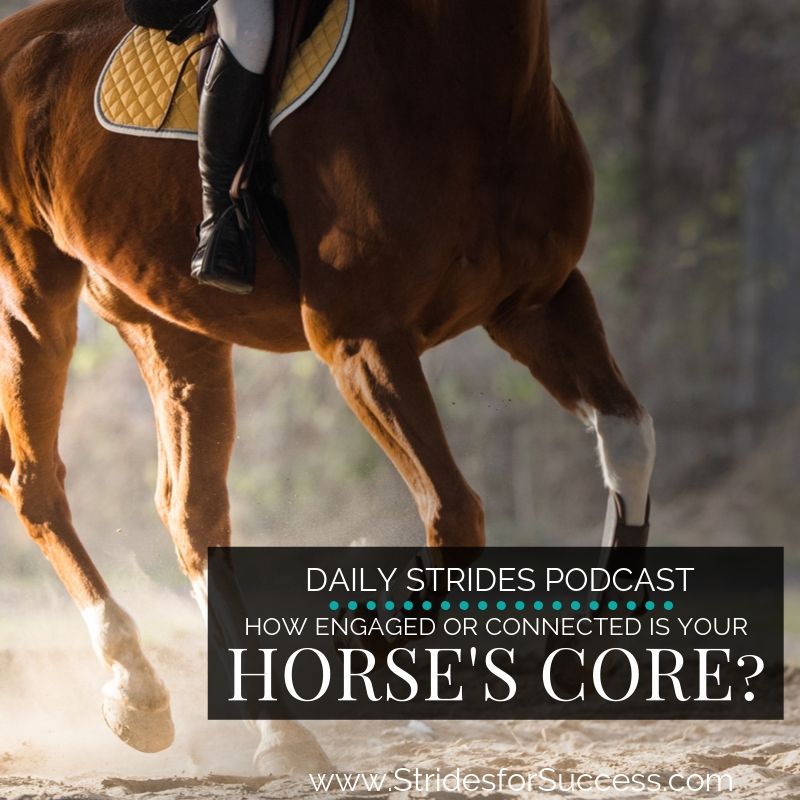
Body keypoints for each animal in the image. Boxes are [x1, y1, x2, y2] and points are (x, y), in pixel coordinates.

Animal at [0, 0, 655, 774]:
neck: (461, 72)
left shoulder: (539, 304)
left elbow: (629, 437)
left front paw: (585, 644)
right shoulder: (361, 340)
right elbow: (454, 512)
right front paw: (364, 645)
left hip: (167, 323)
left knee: (191, 516)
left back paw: (275, 732)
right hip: (31, 297)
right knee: (37, 485)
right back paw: (135, 685)